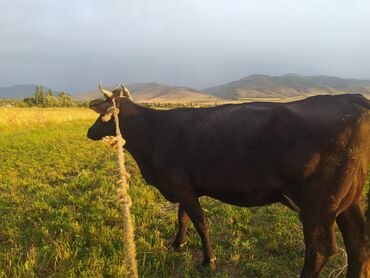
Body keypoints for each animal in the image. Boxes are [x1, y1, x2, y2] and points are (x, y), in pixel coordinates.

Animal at [87, 84, 370, 278]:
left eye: (104, 114)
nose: (90, 132)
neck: (153, 132)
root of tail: (353, 101)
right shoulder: (183, 187)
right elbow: (182, 217)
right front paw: (178, 243)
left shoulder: (181, 188)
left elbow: (201, 223)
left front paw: (208, 260)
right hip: (348, 201)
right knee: (359, 244)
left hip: (318, 207)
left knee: (320, 249)